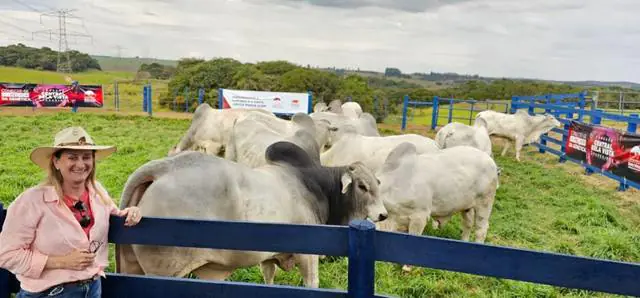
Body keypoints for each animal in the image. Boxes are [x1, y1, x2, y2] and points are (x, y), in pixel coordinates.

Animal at [114, 142, 390, 288]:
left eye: (378, 183)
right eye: (362, 186)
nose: (383, 214)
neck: (316, 187)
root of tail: (163, 168)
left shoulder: (268, 257)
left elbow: (269, 279)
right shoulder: (308, 256)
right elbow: (312, 284)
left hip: (133, 266)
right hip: (164, 272)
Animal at [376, 143, 500, 272]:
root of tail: (490, 160)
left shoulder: (420, 216)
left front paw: (407, 267)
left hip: (485, 203)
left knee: (481, 229)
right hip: (467, 207)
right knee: (468, 224)